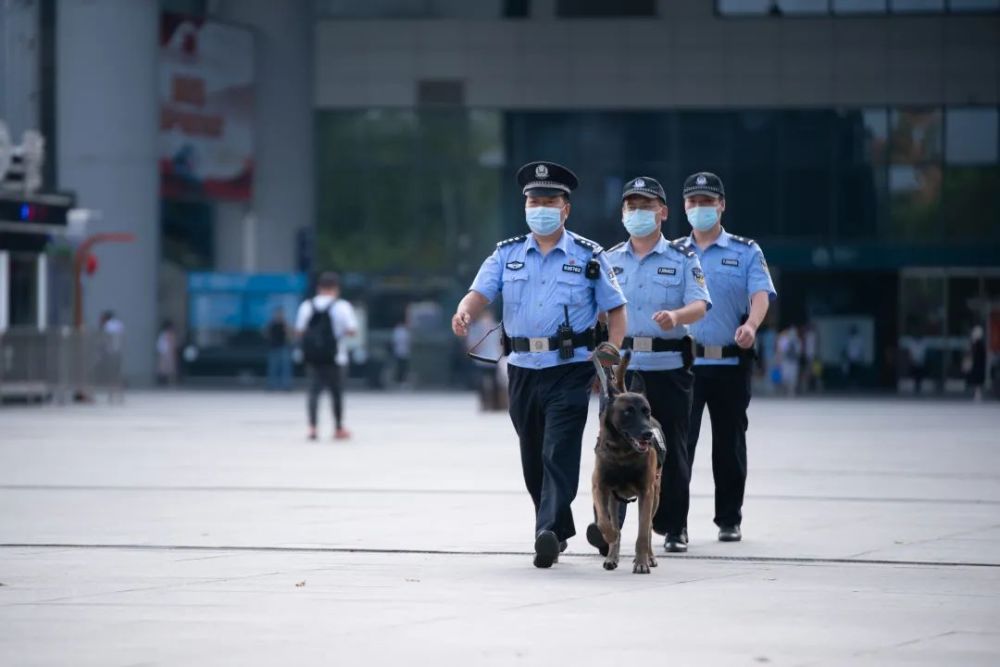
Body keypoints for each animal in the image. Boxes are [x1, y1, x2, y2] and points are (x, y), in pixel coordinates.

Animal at [592, 350, 664, 576]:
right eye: (628, 412)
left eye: (646, 411)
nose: (648, 434)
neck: (622, 454)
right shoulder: (600, 488)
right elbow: (604, 522)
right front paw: (610, 536)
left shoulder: (646, 492)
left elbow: (643, 532)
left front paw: (641, 562)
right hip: (614, 500)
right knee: (615, 521)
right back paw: (612, 556)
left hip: (655, 496)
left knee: (648, 528)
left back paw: (649, 557)